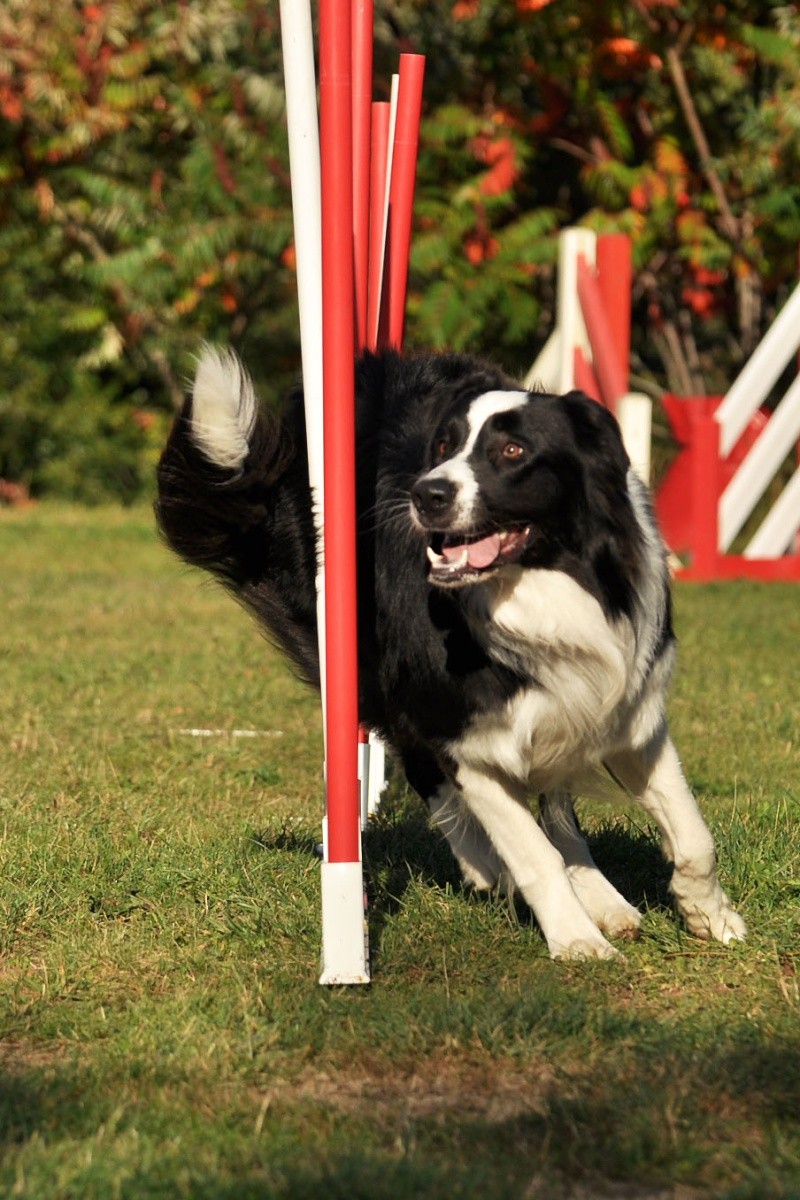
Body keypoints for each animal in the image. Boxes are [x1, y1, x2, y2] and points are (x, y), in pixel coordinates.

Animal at [155, 345, 743, 955]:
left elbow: (690, 830)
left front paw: (710, 916)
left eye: (513, 451)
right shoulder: (466, 730)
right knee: (423, 763)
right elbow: (534, 853)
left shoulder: (627, 707)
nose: (426, 494)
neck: (542, 583)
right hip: (367, 659)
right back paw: (487, 865)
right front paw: (575, 941)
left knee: (554, 803)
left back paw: (602, 897)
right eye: (442, 447)